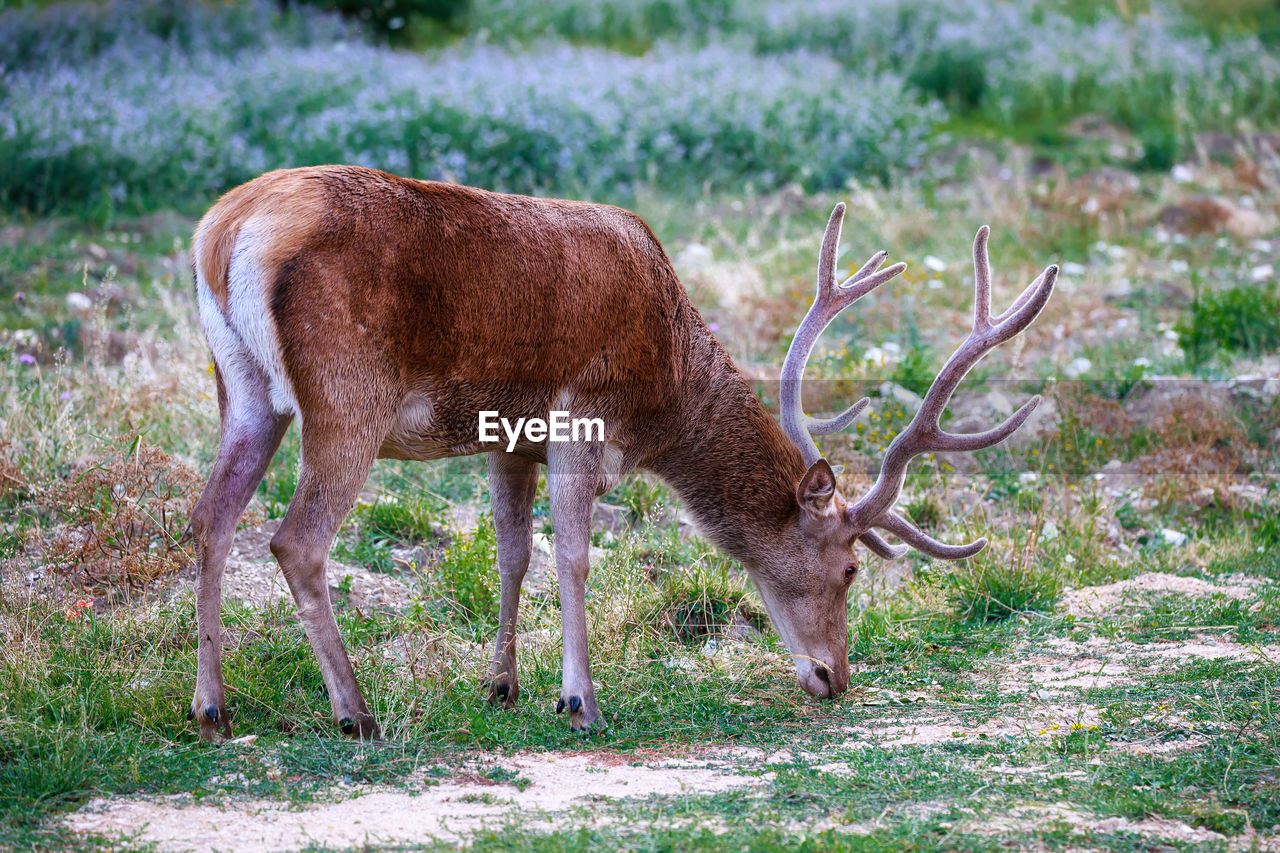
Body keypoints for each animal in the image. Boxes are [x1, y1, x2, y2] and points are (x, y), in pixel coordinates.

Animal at [185, 163, 1054, 737]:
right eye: (849, 569)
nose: (834, 677)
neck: (664, 391)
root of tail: (223, 233)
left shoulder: (510, 440)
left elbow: (512, 553)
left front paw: (501, 684)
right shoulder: (584, 418)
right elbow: (572, 554)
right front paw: (580, 700)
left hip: (243, 391)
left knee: (210, 520)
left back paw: (212, 706)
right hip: (348, 395)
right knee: (295, 540)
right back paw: (355, 711)